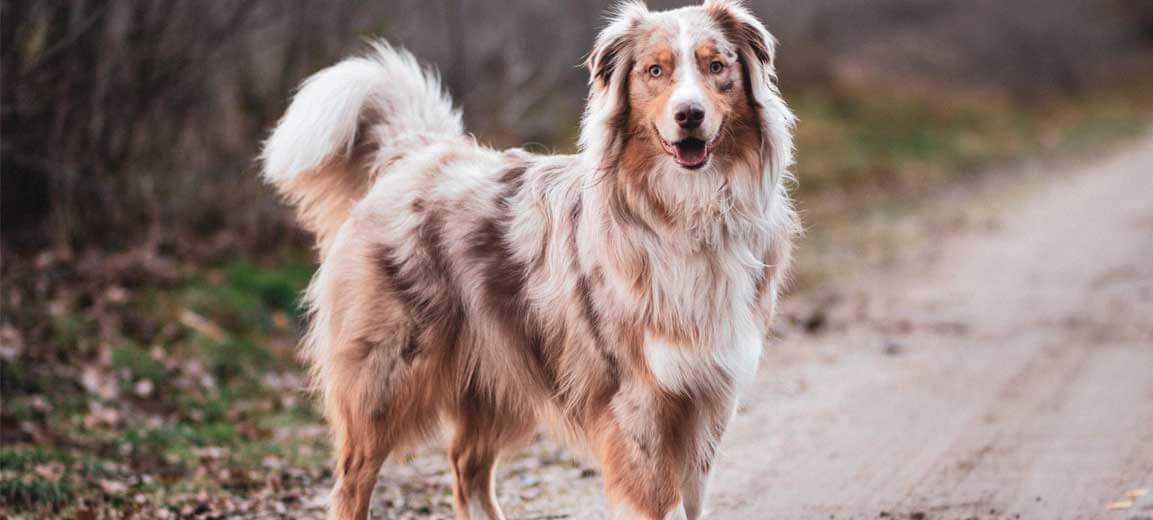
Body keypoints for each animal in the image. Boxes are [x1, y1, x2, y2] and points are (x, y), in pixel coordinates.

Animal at [262, 2, 802, 518]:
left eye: (716, 67)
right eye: (655, 71)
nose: (689, 114)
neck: (690, 209)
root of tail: (415, 154)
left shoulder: (708, 398)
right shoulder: (641, 404)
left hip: (499, 372)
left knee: (467, 467)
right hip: (385, 380)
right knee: (353, 482)